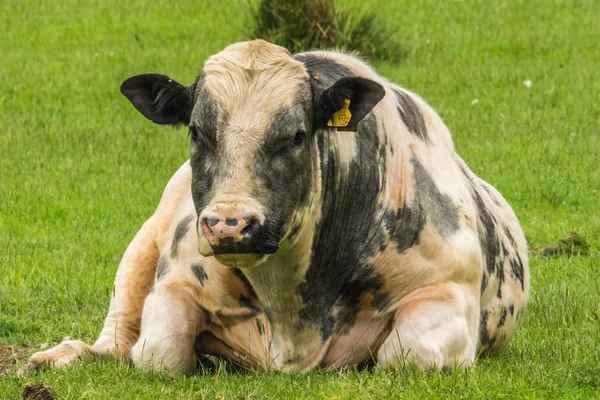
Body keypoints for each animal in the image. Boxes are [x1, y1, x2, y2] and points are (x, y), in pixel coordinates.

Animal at [18, 39, 528, 376]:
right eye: (197, 132)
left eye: (297, 136)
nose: (230, 225)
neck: (292, 312)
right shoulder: (175, 282)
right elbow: (158, 354)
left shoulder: (447, 289)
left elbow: (407, 355)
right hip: (140, 248)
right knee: (117, 340)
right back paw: (55, 358)